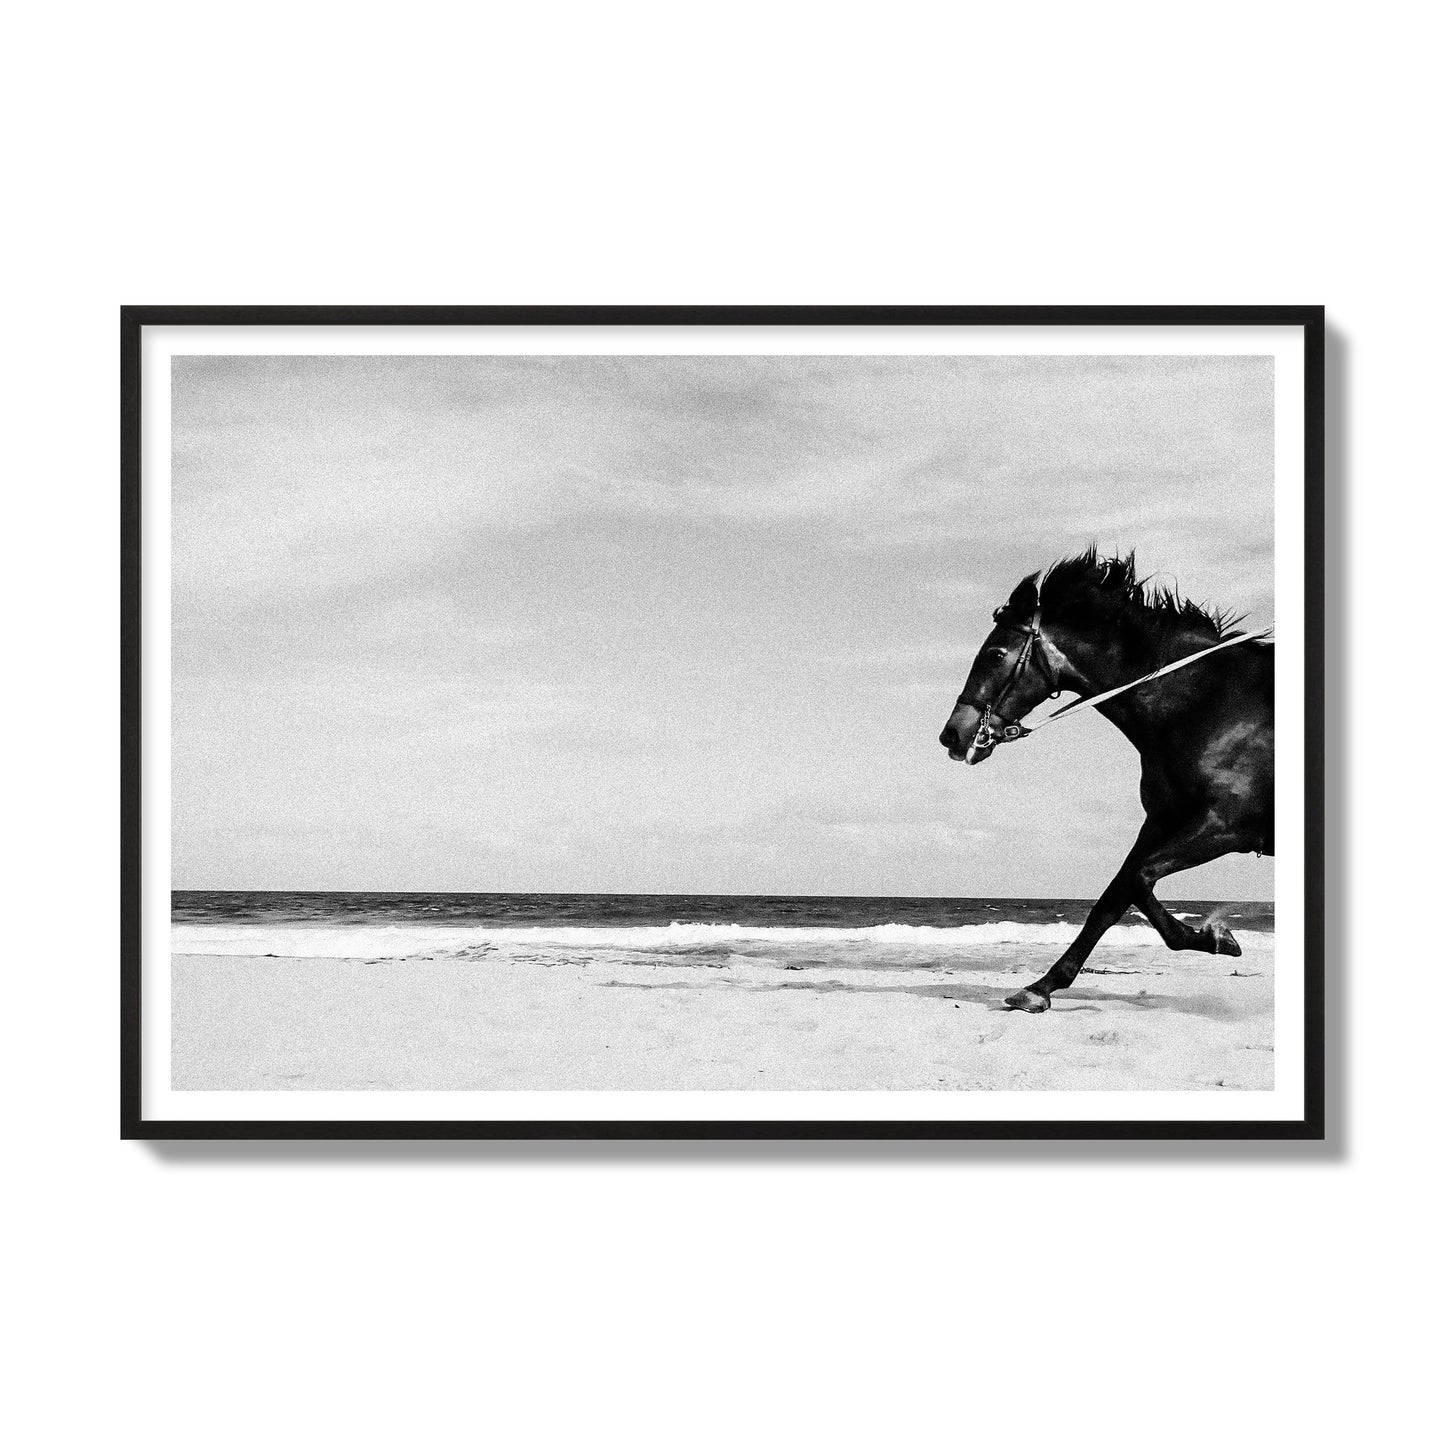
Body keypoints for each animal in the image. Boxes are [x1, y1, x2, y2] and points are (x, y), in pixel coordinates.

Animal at [937, 549, 1274, 1013]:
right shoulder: (1163, 821)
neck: (1207, 704)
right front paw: (1040, 986)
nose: (953, 734)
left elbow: (1137, 880)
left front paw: (1215, 936)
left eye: (996, 653)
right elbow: (1114, 897)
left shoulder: (1225, 826)